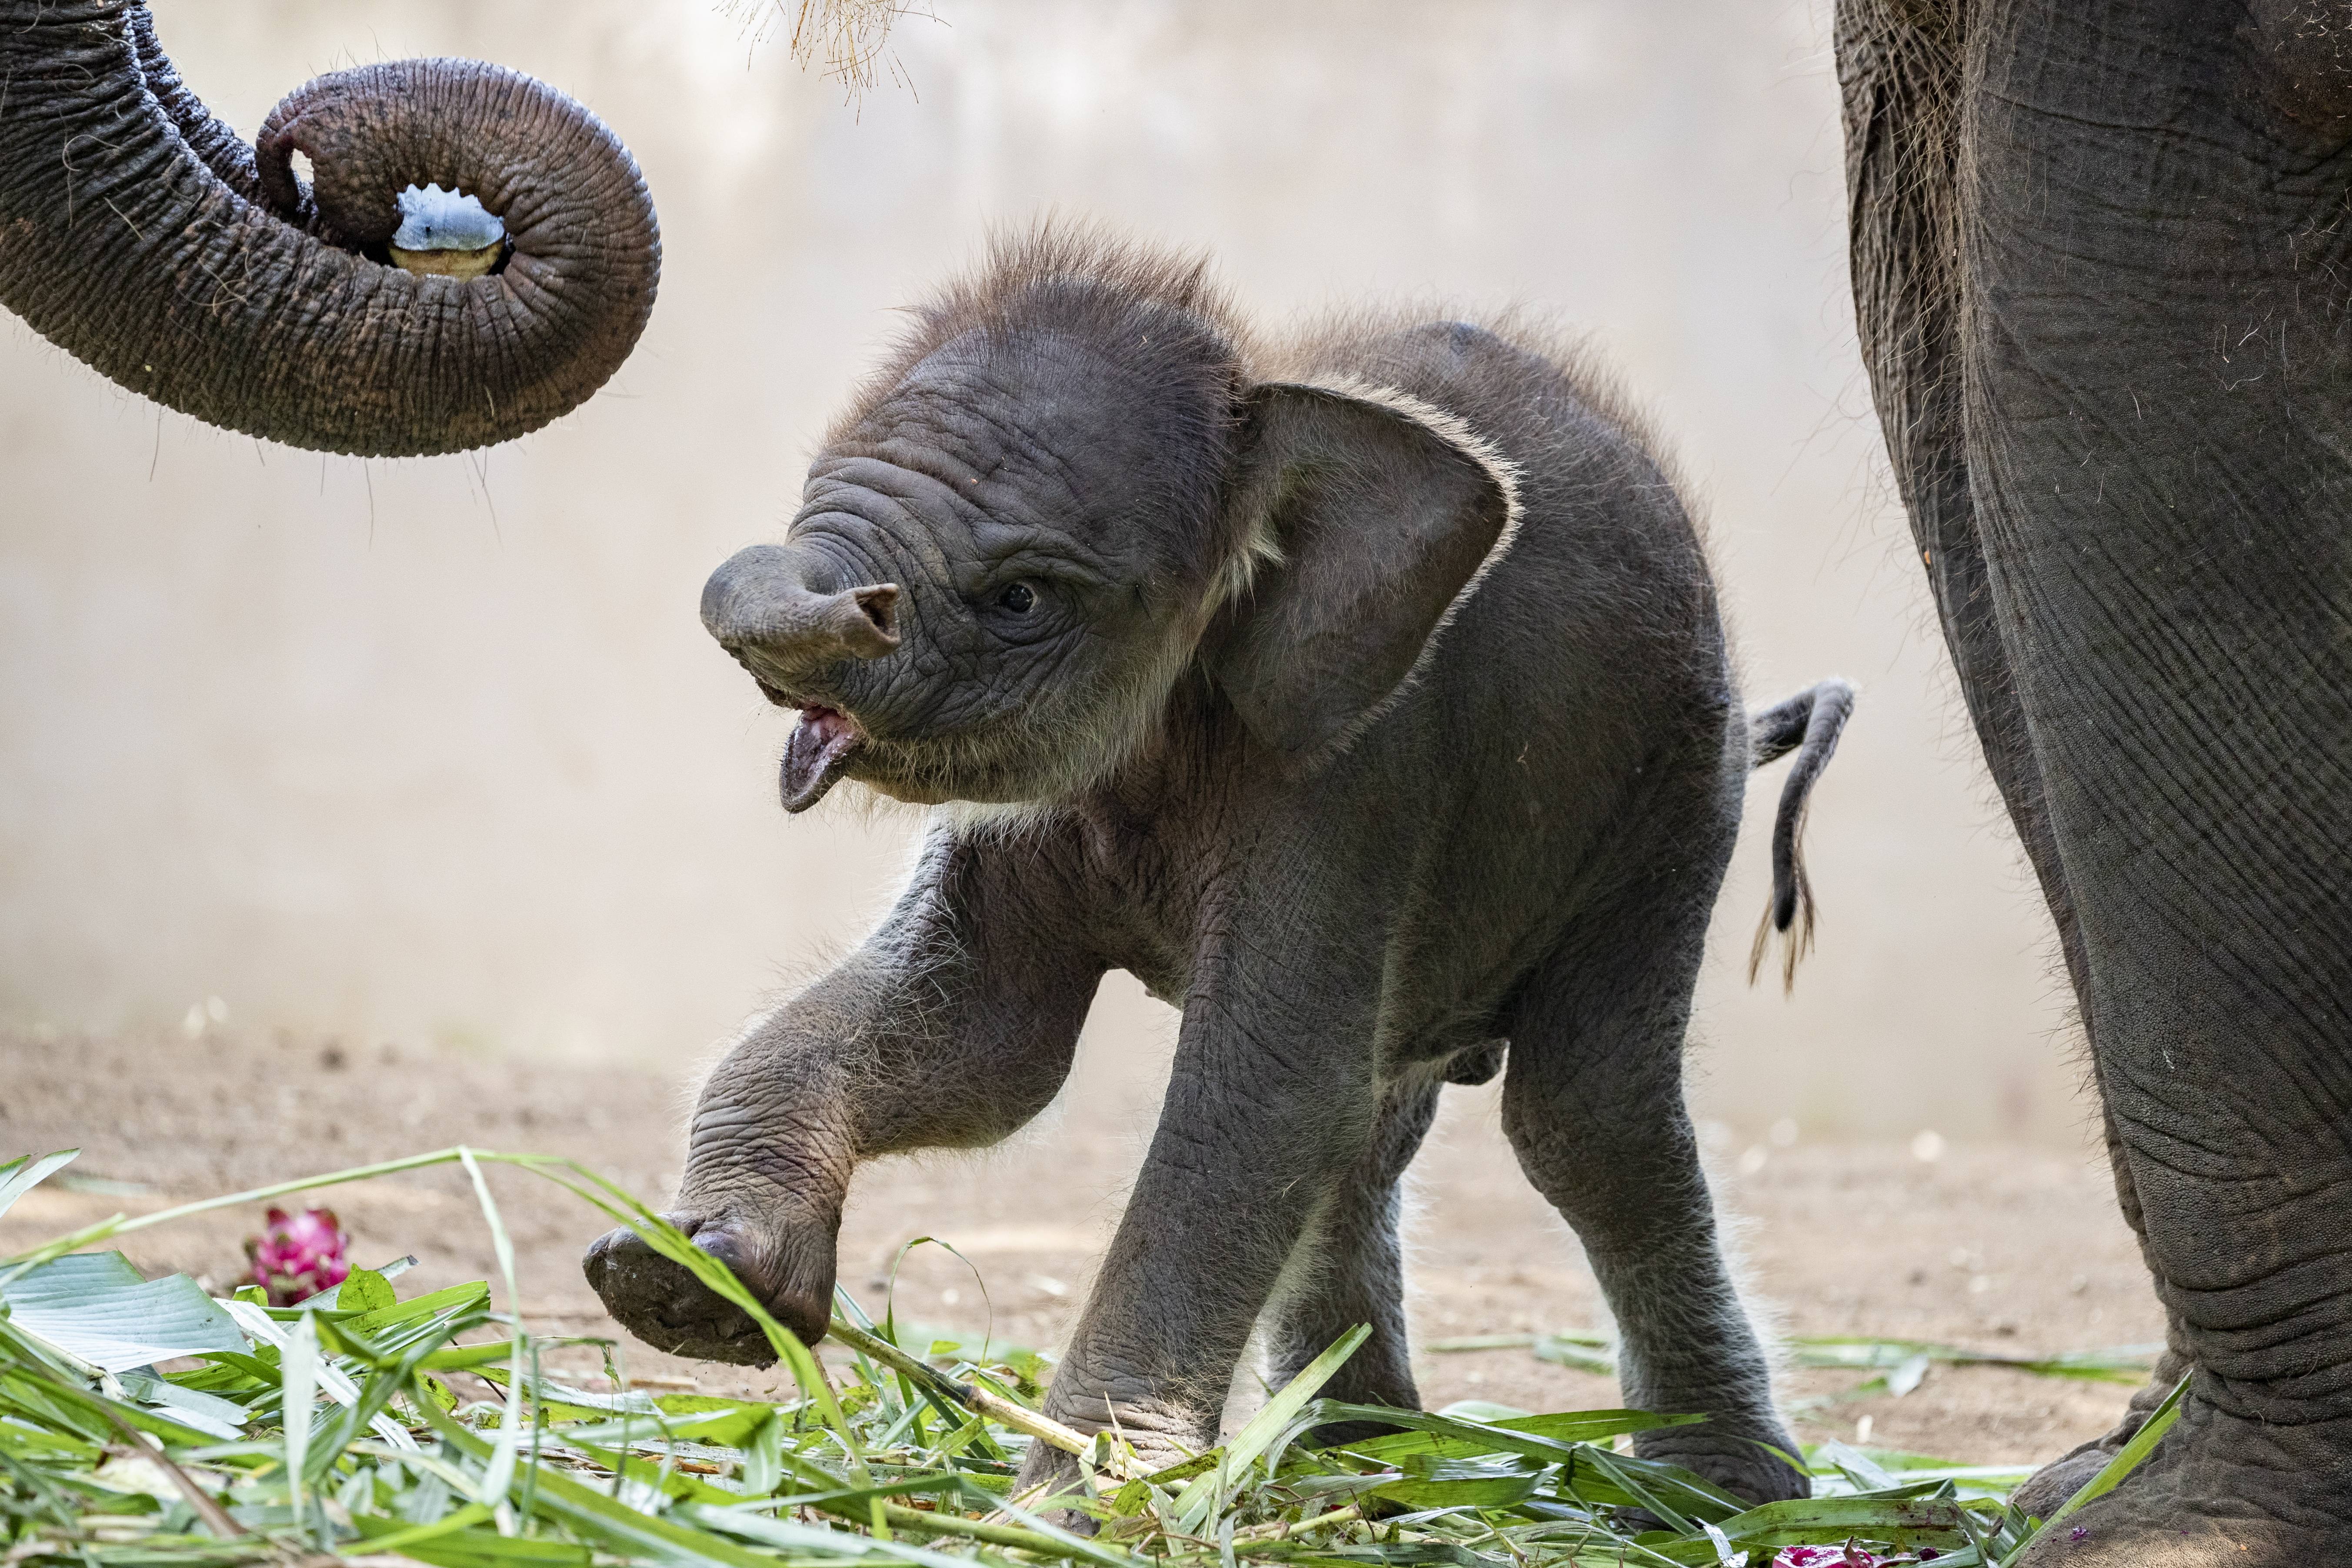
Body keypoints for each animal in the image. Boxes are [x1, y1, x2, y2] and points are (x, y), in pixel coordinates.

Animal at [583, 223, 1835, 1505]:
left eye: (1020, 596)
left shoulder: (1357, 768)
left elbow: (1260, 1084)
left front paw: (1090, 1498)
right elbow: (979, 1043)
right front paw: (684, 1282)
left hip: (1673, 802)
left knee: (1586, 1120)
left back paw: (1715, 1493)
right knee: (1376, 1121)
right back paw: (1354, 1458)